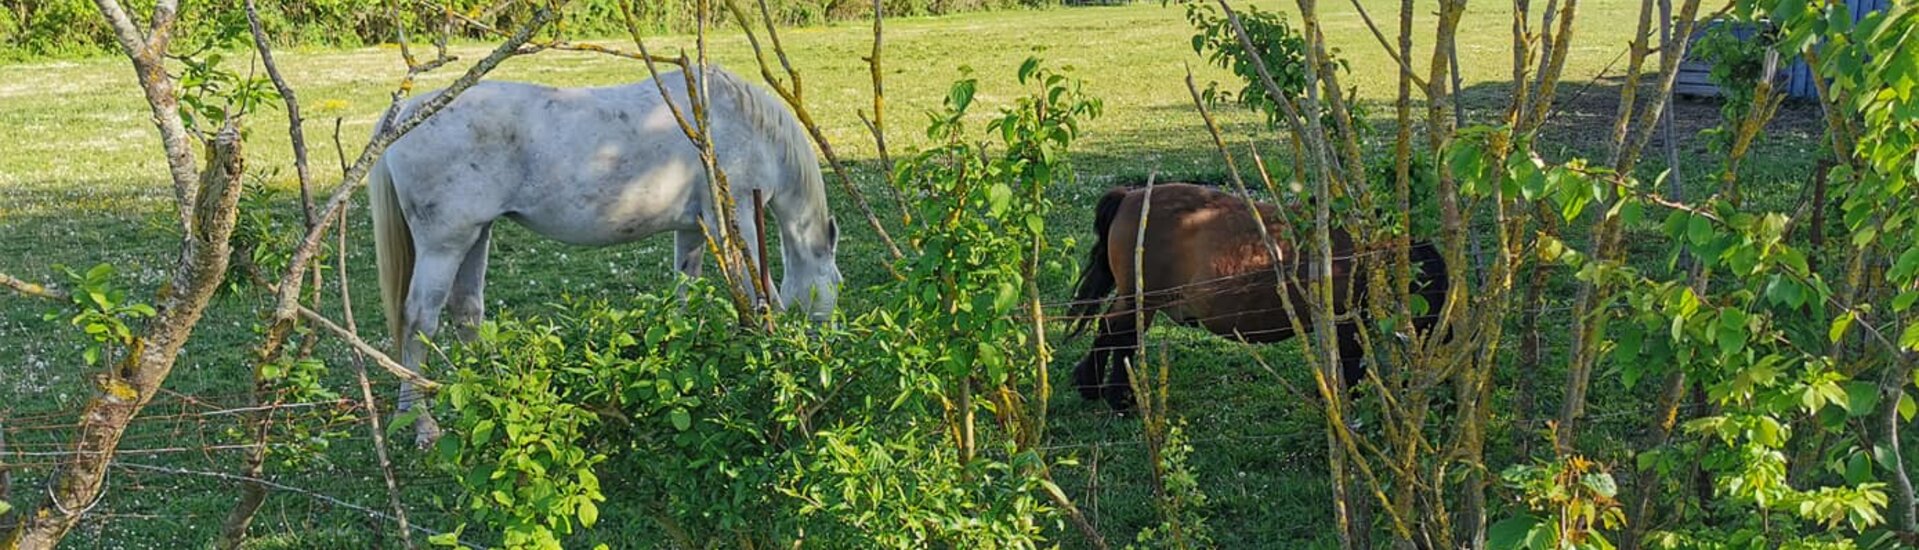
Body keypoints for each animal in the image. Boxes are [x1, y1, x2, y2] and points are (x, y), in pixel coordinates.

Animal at [366, 68, 840, 448]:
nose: (824, 354)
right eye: (836, 286)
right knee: (420, 321)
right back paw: (421, 422)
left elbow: (684, 294)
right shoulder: (734, 217)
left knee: (466, 311)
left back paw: (495, 389)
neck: (735, 123)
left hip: (476, 235)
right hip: (444, 244)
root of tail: (409, 113)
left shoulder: (693, 228)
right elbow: (761, 294)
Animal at [1059, 183, 1443, 412]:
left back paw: (1093, 386)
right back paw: (1116, 396)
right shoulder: (1343, 321)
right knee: (1120, 335)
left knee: (1111, 332)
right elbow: (1351, 366)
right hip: (1142, 299)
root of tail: (1130, 196)